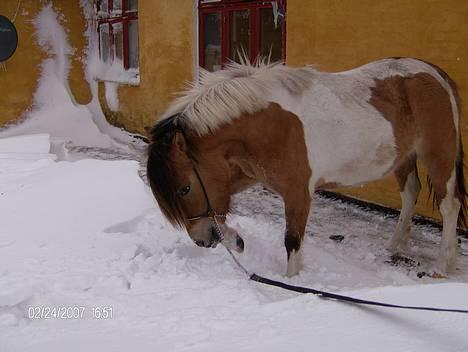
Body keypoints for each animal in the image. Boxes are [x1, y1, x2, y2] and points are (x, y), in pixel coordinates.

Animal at [146, 57, 464, 276]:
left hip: (438, 154)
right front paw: (235, 240)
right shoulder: (241, 175)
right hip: (404, 157)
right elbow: (222, 211)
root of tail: (436, 73)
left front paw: (291, 281)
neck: (269, 124)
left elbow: (292, 241)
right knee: (410, 193)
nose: (201, 241)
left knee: (450, 205)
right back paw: (396, 244)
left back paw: (442, 265)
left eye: (185, 188)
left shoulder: (298, 193)